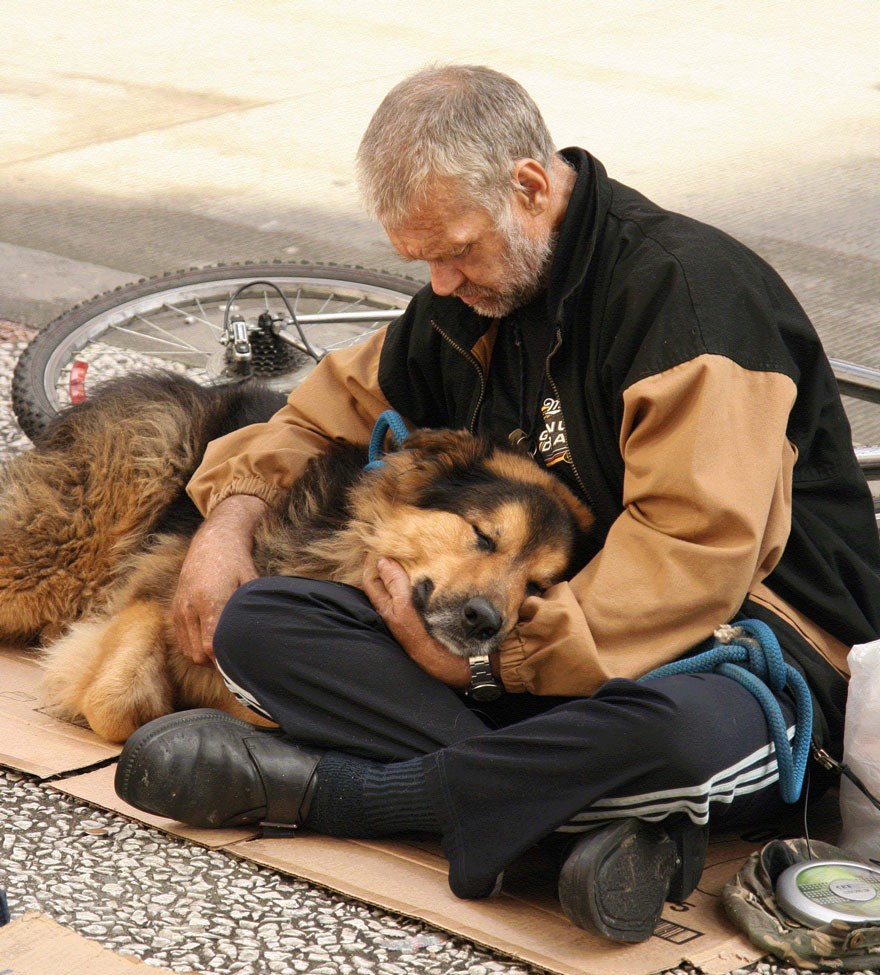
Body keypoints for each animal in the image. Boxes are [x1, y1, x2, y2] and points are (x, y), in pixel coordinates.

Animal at [0, 374, 596, 740]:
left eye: (539, 587)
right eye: (484, 537)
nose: (485, 621)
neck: (348, 550)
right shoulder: (173, 588)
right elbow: (116, 697)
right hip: (63, 550)